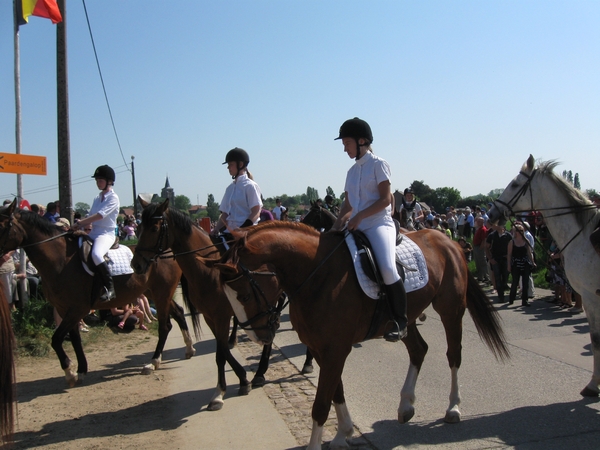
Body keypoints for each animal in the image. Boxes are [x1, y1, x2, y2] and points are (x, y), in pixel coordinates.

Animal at [0, 200, 195, 386]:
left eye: (3, 225)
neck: (60, 260)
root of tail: (169, 250)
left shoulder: (77, 308)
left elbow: (56, 339)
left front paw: (70, 372)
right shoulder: (65, 309)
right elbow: (74, 338)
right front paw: (80, 371)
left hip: (161, 293)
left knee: (165, 325)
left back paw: (153, 362)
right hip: (154, 293)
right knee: (178, 313)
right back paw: (188, 349)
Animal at [130, 200, 284, 412]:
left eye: (154, 228)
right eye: (138, 228)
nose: (135, 264)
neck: (206, 269)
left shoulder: (221, 316)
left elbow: (220, 354)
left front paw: (219, 394)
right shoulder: (210, 316)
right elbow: (223, 349)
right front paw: (243, 379)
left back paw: (262, 372)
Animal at [211, 222, 510, 450]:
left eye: (244, 295)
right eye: (228, 296)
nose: (259, 336)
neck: (317, 275)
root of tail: (449, 241)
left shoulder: (335, 350)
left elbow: (321, 404)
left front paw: (320, 443)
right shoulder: (322, 349)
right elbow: (336, 391)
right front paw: (343, 434)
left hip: (451, 310)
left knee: (453, 355)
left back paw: (453, 408)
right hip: (405, 319)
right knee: (419, 349)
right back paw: (406, 405)